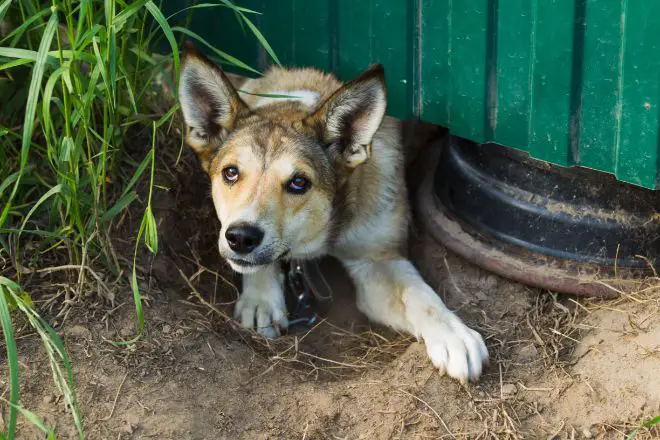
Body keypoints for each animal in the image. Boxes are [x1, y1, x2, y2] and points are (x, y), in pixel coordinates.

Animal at [178, 43, 488, 384]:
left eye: (299, 182)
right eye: (231, 173)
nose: (241, 238)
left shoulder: (376, 258)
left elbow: (419, 294)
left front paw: (452, 333)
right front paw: (261, 299)